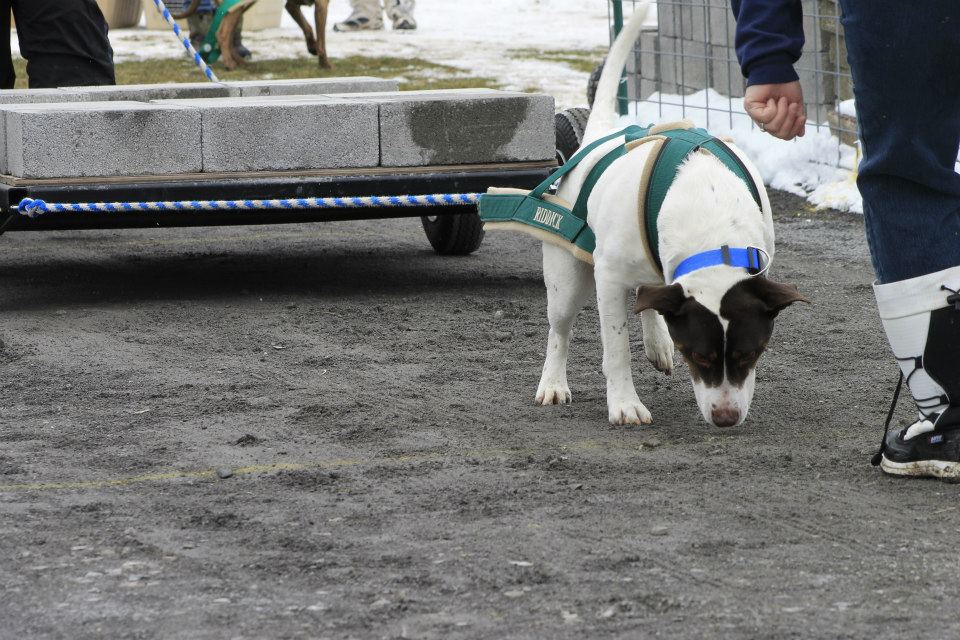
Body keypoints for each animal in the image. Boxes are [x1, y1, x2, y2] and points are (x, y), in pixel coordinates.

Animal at [532, 5, 808, 428]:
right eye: (697, 354)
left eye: (751, 353)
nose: (726, 418)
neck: (712, 223)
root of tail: (596, 138)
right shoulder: (608, 276)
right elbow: (616, 347)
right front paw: (624, 404)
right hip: (567, 278)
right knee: (560, 329)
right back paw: (553, 383)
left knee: (647, 295)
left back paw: (656, 341)